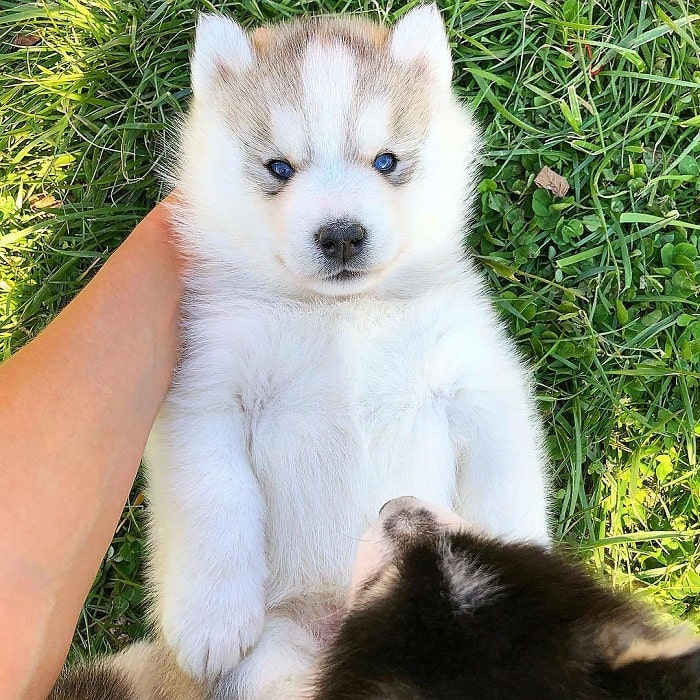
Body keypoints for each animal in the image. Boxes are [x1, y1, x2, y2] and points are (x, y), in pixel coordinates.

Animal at [146, 6, 552, 700]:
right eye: (279, 168)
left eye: (385, 160)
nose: (341, 235)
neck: (341, 313)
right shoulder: (205, 390)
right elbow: (214, 496)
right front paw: (213, 616)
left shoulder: (478, 378)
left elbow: (505, 482)